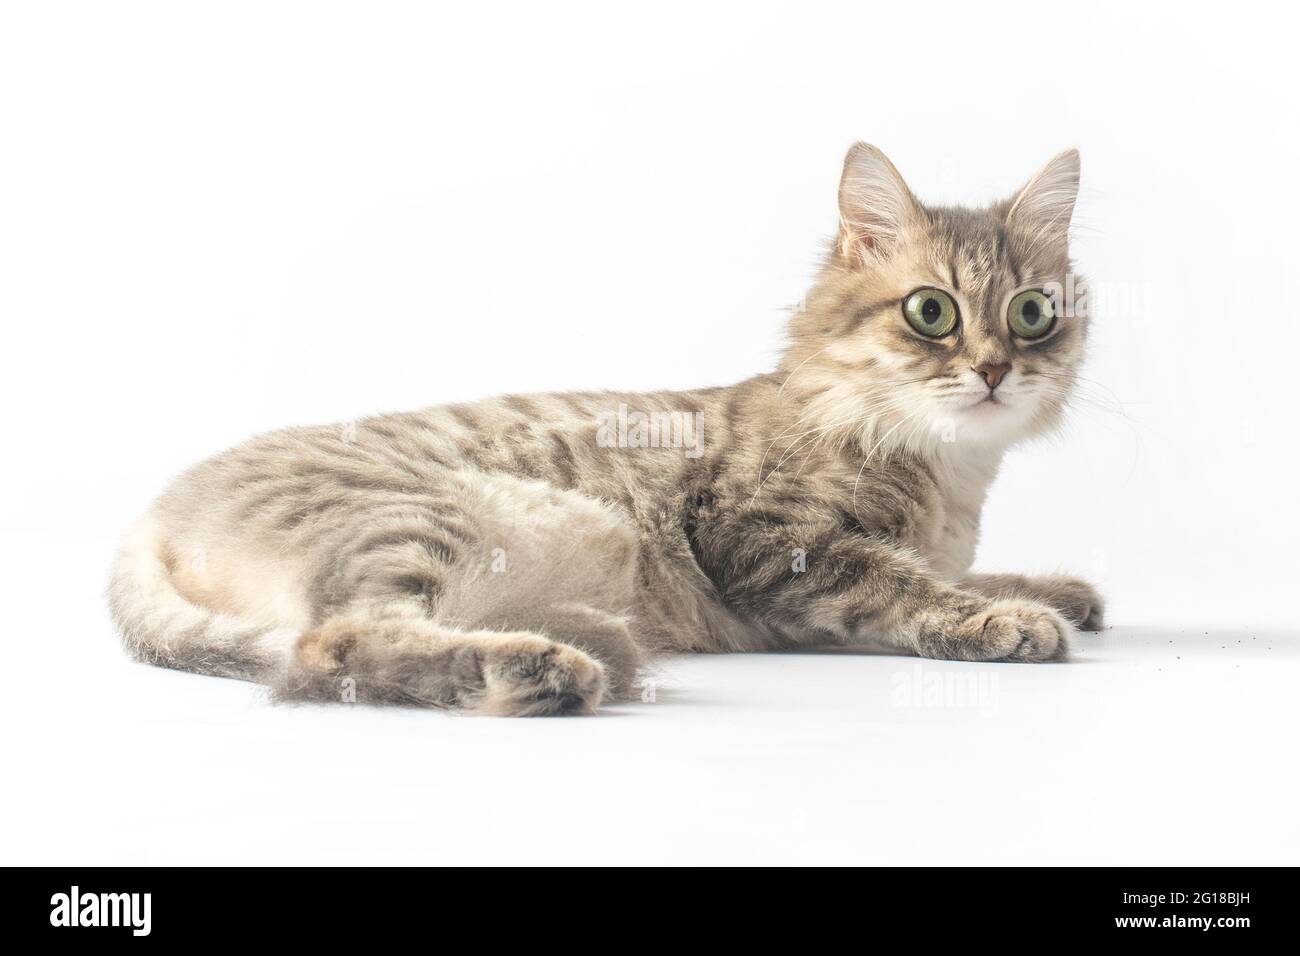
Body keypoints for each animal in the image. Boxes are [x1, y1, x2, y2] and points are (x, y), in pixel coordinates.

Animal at [111, 143, 1102, 717]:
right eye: (932, 313)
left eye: (1032, 313)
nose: (996, 369)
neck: (946, 473)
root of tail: (152, 512)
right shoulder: (767, 544)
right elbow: (901, 584)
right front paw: (1012, 619)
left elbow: (959, 568)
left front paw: (1058, 590)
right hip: (428, 521)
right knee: (330, 649)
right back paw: (540, 671)